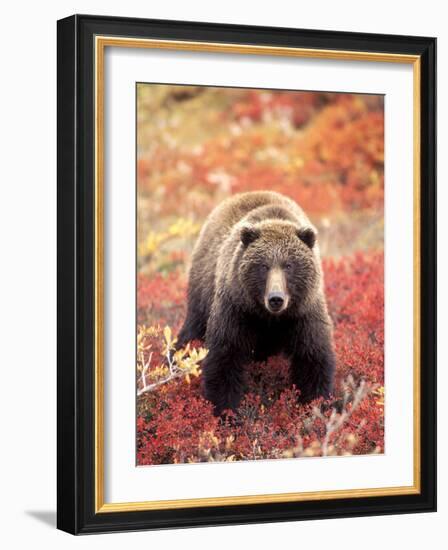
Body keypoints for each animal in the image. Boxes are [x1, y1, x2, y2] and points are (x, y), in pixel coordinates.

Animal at [177, 192, 334, 416]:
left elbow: (313, 358)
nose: (276, 298)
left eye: (289, 265)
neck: (269, 318)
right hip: (202, 289)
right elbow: (224, 358)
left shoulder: (304, 313)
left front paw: (315, 406)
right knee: (192, 331)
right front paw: (227, 412)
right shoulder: (236, 309)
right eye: (263, 266)